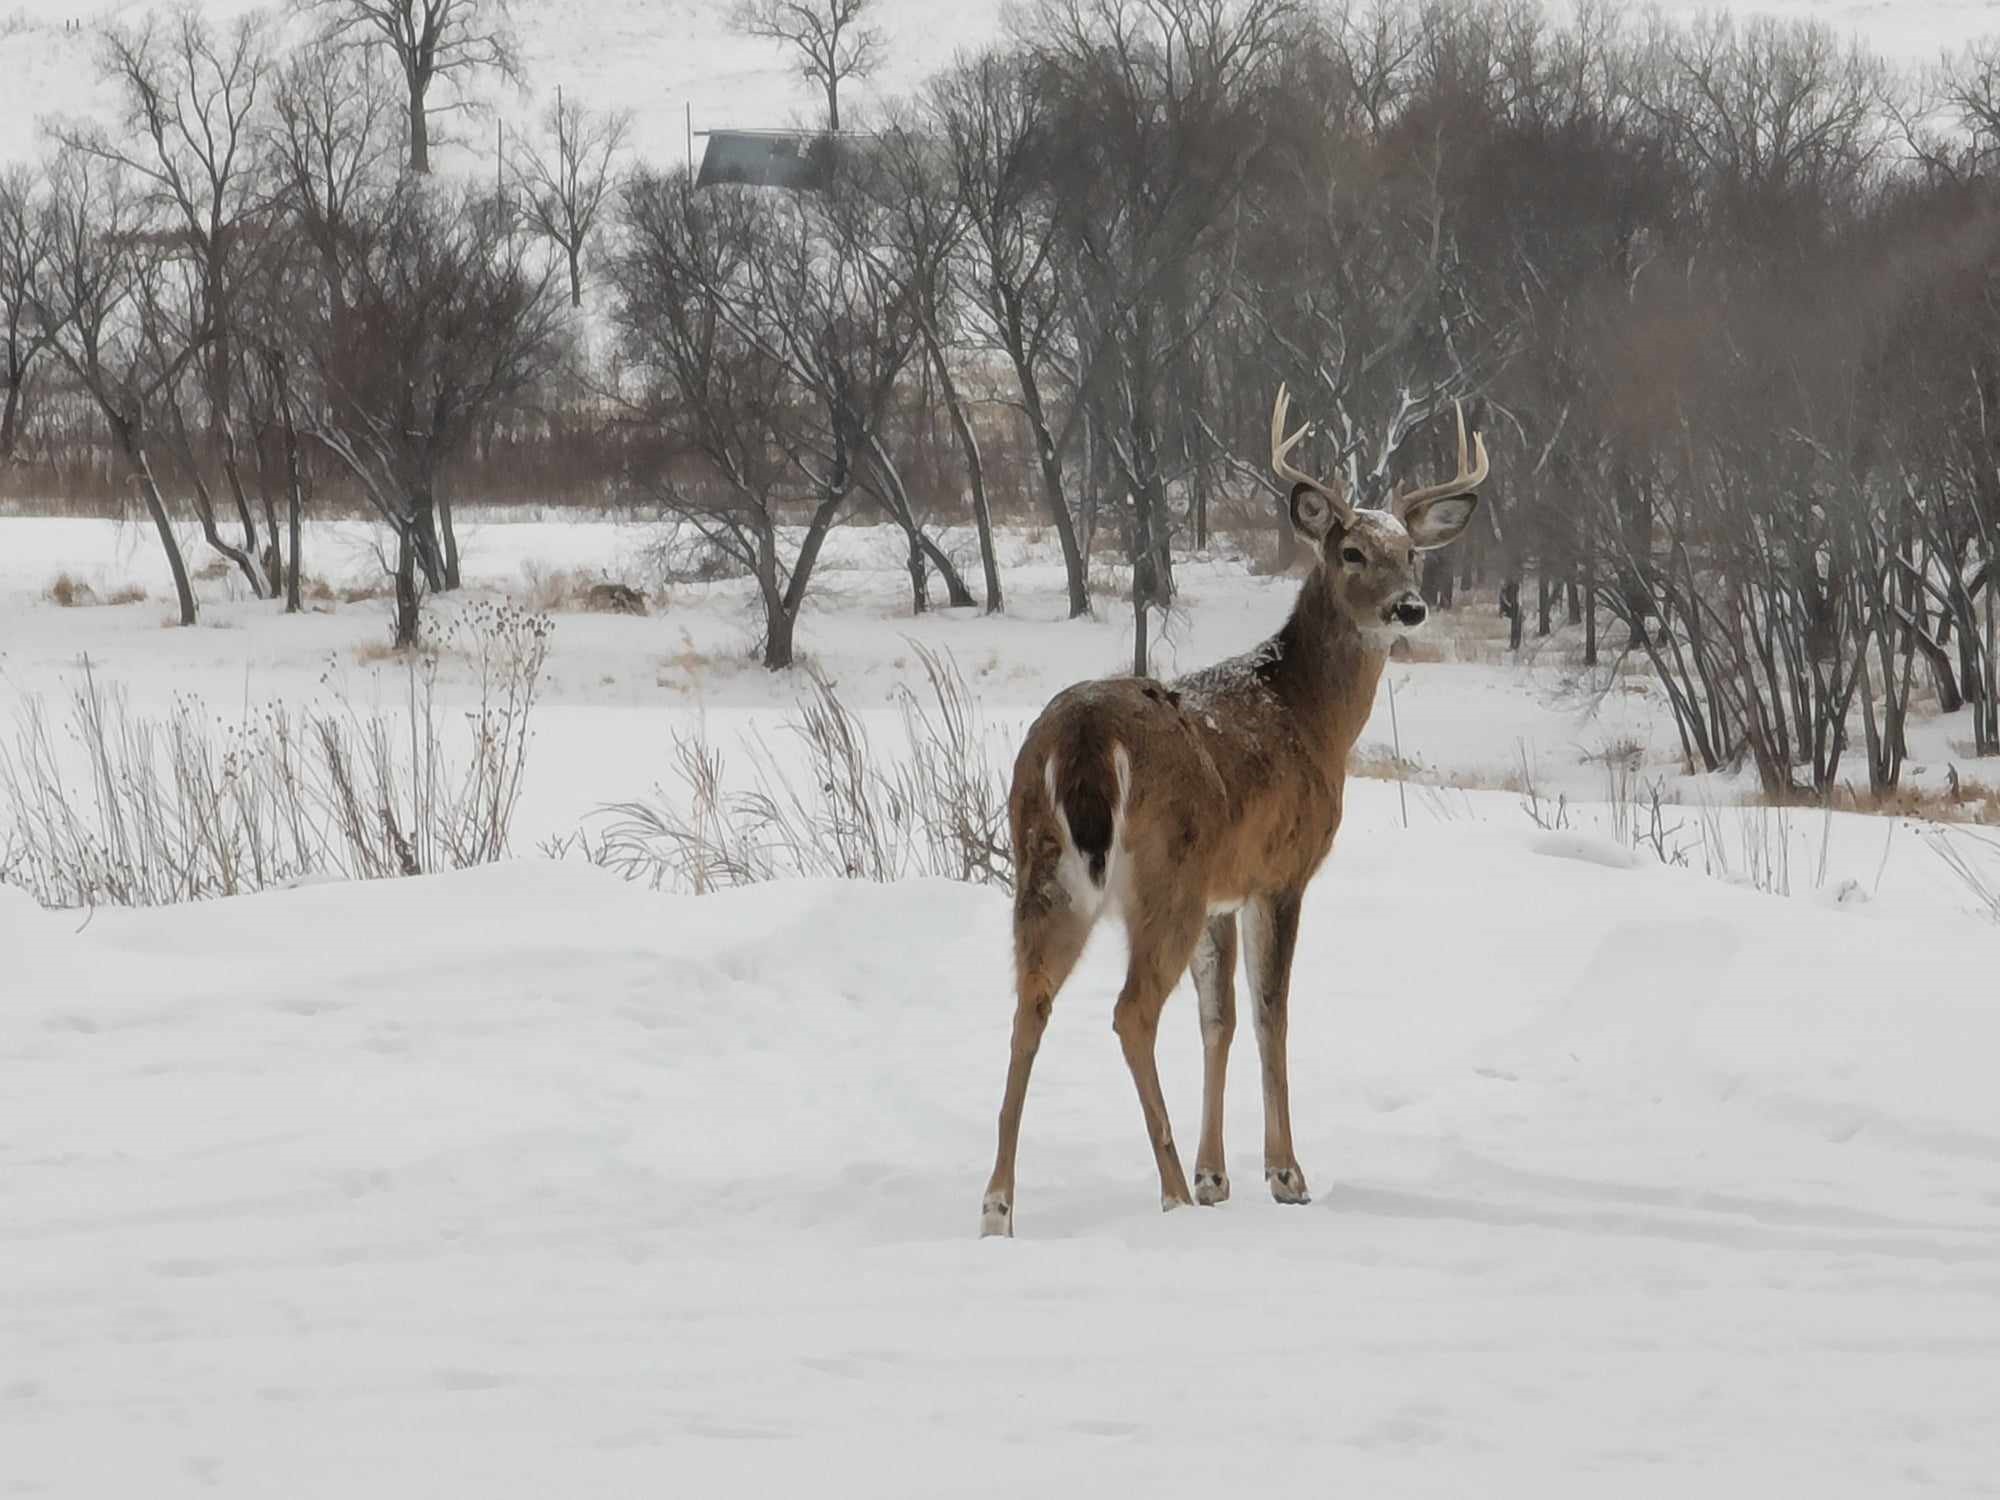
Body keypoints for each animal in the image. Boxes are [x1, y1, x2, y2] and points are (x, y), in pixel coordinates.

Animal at [976, 390, 1496, 1248]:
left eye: (1412, 554)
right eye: (1351, 551)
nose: (1411, 607)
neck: (1309, 716)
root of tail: (1082, 734)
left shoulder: (1223, 891)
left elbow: (1215, 1019)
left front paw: (1217, 1175)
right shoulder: (1278, 873)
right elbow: (1268, 1013)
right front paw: (1282, 1175)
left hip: (1043, 867)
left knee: (1029, 1003)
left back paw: (998, 1206)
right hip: (1165, 876)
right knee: (1129, 1012)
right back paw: (1168, 1193)